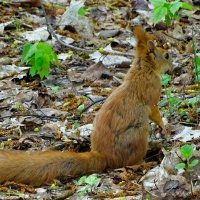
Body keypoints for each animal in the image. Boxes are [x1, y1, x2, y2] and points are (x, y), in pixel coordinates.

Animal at [0, 25, 172, 185]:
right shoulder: (151, 95)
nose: (173, 63)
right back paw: (146, 160)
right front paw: (164, 128)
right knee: (131, 161)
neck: (143, 69)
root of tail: (103, 156)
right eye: (166, 55)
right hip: (138, 134)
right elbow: (155, 113)